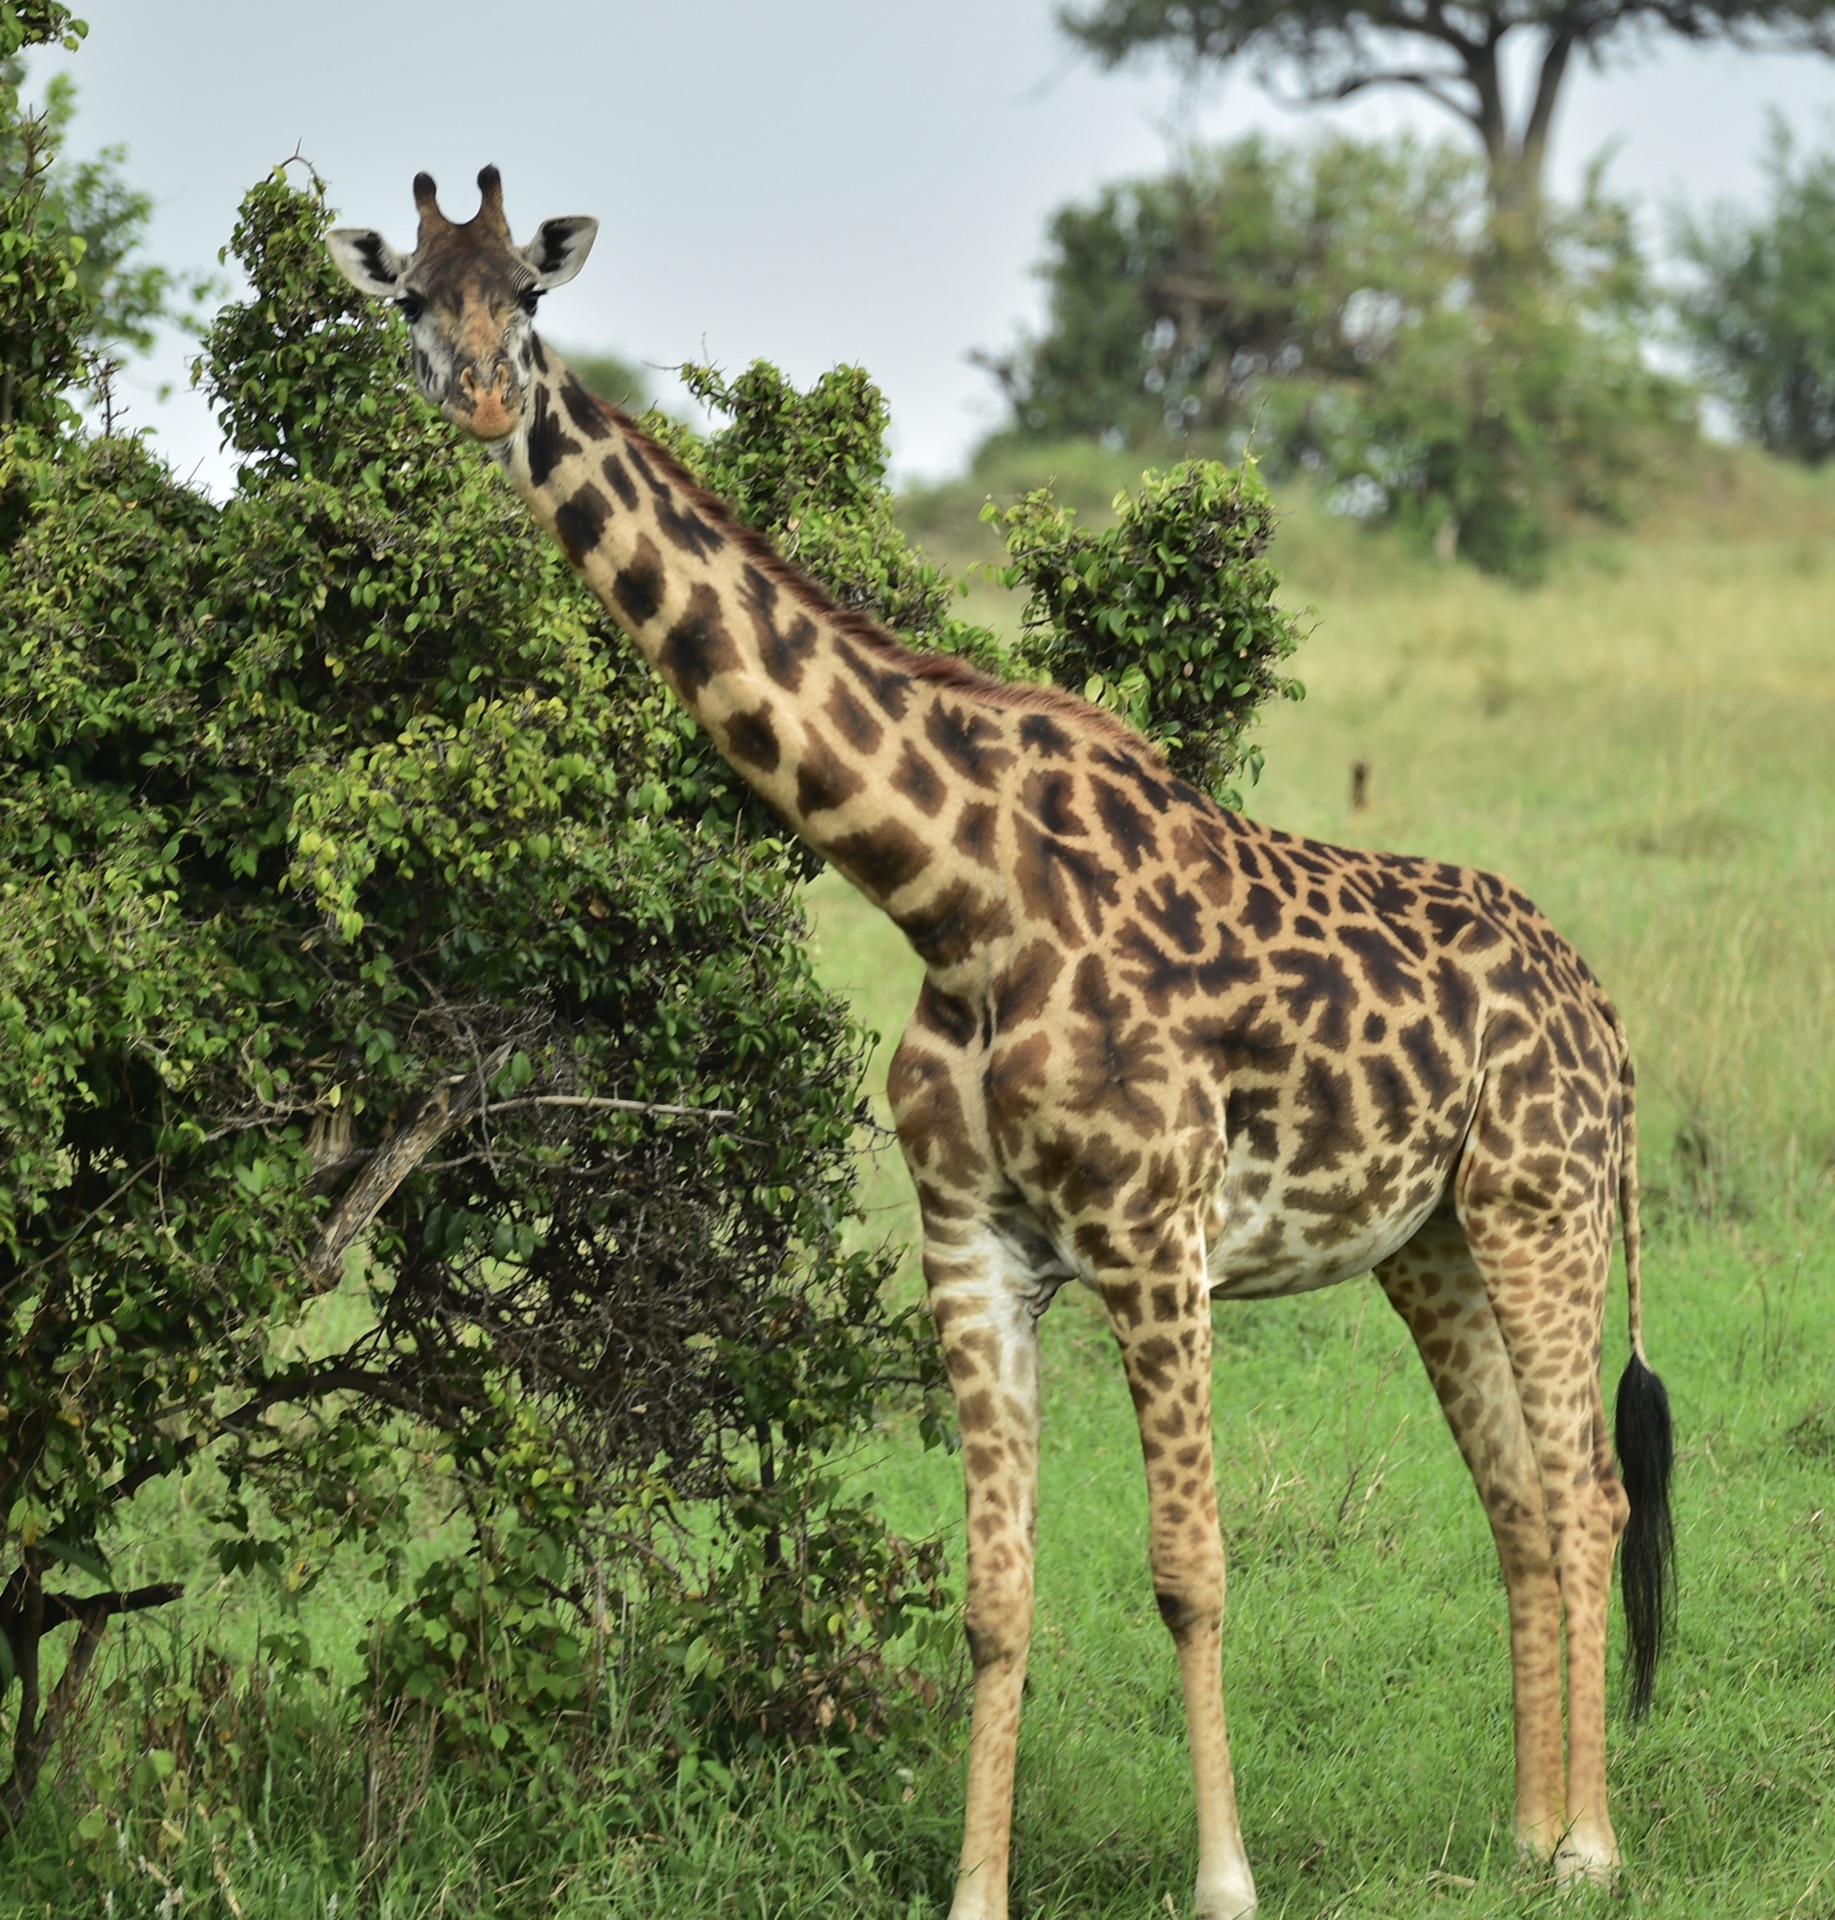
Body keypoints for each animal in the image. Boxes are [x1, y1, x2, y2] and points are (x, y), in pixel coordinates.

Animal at [330, 172, 1673, 1912]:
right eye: (414, 300)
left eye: (530, 296)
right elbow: (991, 1599)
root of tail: (1605, 1021)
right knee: (1512, 1495)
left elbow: (1187, 1568)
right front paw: (978, 1889)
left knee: (1587, 1489)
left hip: (1538, 1204)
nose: (488, 400)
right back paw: (1516, 1831)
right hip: (1425, 1239)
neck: (955, 897)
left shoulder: (1152, 1239)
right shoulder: (970, 1245)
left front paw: (1221, 1881)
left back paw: (1586, 1845)